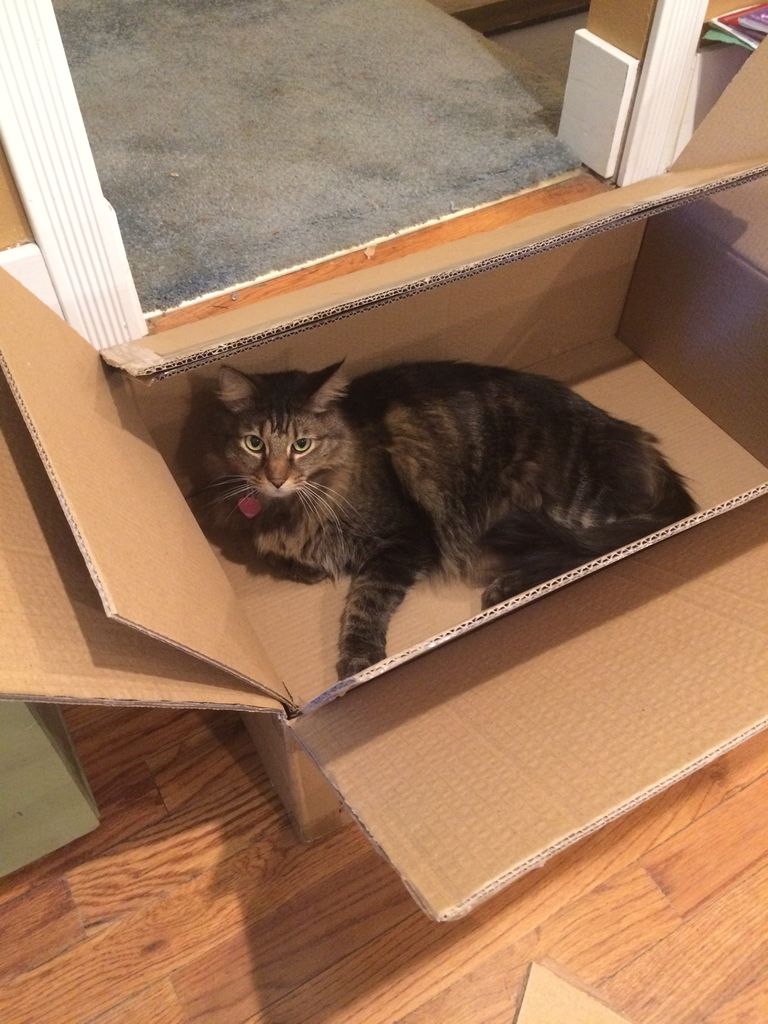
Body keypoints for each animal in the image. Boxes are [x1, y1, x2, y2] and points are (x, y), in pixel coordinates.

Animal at [198, 359, 697, 679]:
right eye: (254, 444)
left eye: (301, 445)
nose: (276, 479)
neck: (292, 509)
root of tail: (647, 451)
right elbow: (279, 557)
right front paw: (306, 569)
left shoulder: (403, 540)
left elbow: (366, 599)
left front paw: (360, 657)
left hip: (554, 507)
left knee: (595, 552)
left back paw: (506, 588)